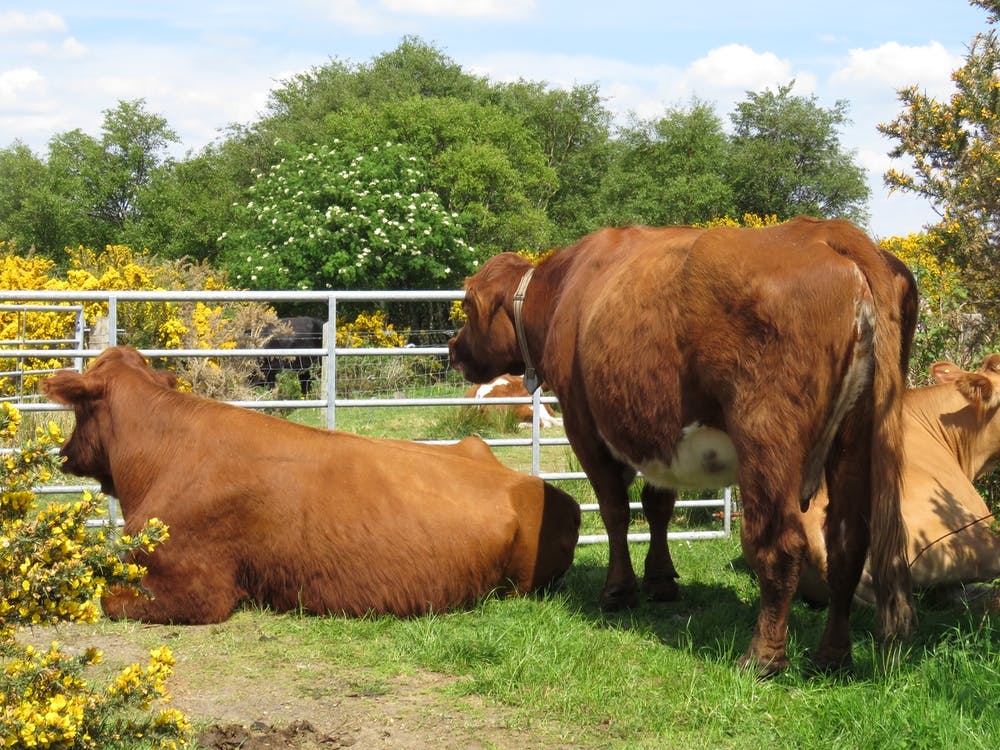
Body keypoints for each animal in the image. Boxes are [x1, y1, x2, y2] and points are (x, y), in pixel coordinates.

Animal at [42, 346, 580, 625]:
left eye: (80, 409)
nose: (65, 452)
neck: (162, 457)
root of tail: (544, 489)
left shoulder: (193, 590)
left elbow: (105, 598)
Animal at [449, 217, 917, 675]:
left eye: (467, 306)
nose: (453, 349)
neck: (565, 288)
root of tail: (825, 231)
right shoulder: (658, 431)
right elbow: (658, 506)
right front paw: (660, 580)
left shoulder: (584, 426)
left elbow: (615, 511)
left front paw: (618, 591)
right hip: (855, 439)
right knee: (847, 545)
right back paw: (832, 656)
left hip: (767, 435)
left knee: (783, 543)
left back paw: (762, 657)